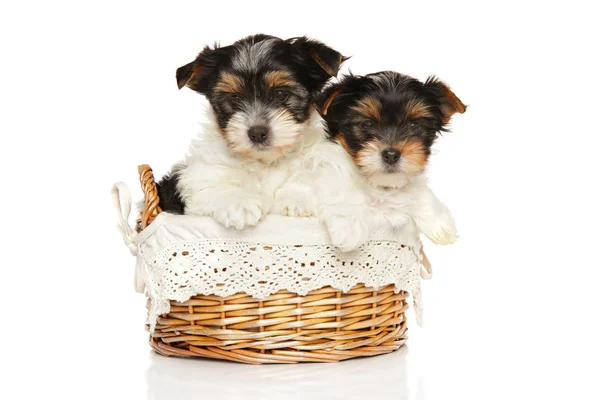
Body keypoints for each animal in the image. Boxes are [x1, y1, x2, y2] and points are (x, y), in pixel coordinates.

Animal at [156, 36, 346, 230]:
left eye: (281, 94)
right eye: (234, 98)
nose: (257, 133)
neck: (266, 161)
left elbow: (305, 179)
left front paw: (296, 199)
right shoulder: (198, 176)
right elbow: (213, 185)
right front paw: (239, 203)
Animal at [316, 70, 466, 248]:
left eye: (414, 125)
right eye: (366, 124)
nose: (391, 155)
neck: (383, 186)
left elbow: (419, 191)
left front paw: (440, 222)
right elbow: (339, 184)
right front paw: (349, 227)